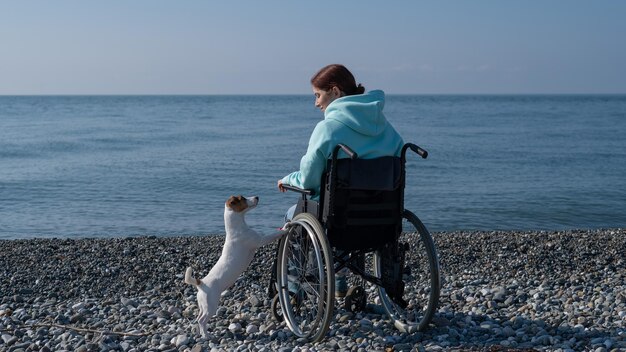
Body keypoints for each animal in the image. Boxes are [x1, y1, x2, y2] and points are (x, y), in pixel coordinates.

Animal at [183, 197, 286, 336]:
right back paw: (206, 335)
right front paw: (286, 228)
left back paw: (201, 333)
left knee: (198, 318)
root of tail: (201, 283)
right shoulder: (260, 241)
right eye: (243, 198)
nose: (257, 197)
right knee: (202, 320)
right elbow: (273, 234)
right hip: (211, 306)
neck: (236, 228)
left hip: (203, 305)